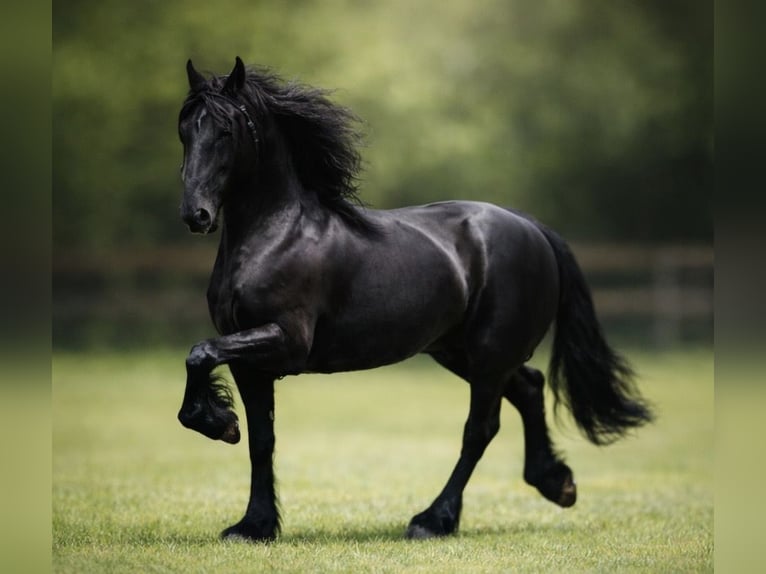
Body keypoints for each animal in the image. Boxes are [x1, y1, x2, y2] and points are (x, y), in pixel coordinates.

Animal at [176, 57, 653, 542]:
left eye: (225, 130)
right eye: (184, 129)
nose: (196, 215)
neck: (276, 234)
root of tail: (530, 226)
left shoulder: (286, 341)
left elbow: (200, 354)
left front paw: (218, 424)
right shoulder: (248, 360)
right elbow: (260, 439)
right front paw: (253, 524)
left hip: (488, 355)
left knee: (480, 429)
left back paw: (433, 519)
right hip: (459, 351)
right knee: (529, 387)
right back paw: (556, 483)